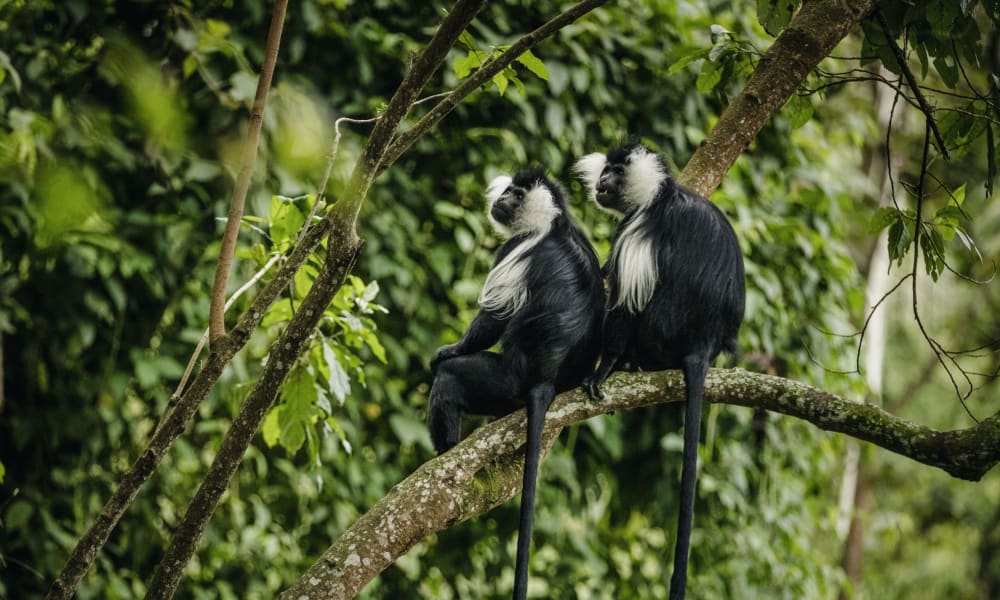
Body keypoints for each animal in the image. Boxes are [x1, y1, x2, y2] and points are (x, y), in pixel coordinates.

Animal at [428, 169, 600, 600]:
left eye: (517, 195)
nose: (502, 198)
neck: (552, 223)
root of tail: (545, 379)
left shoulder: (515, 249)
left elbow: (492, 319)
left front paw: (449, 350)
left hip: (502, 380)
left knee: (451, 380)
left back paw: (445, 451)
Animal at [576, 142, 748, 600]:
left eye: (616, 173)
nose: (601, 183)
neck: (658, 195)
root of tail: (703, 342)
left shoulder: (638, 230)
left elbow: (623, 302)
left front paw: (602, 370)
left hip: (659, 331)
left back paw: (628, 363)